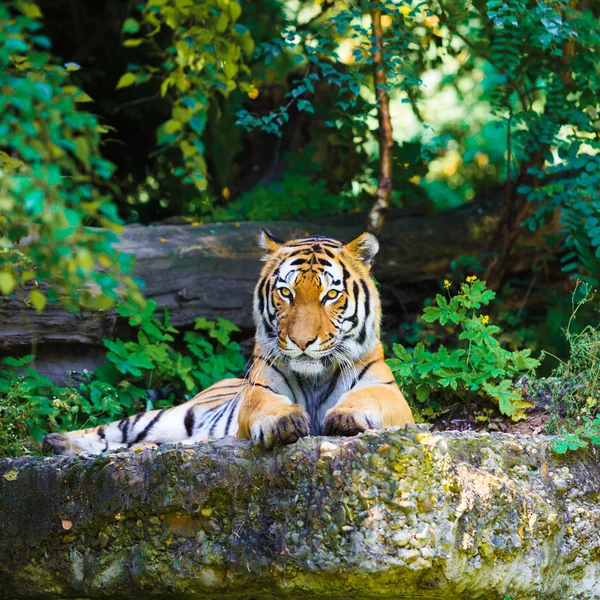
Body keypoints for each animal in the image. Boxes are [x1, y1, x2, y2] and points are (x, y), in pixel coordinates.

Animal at [43, 230, 412, 454]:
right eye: (286, 293)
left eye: (331, 295)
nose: (302, 341)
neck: (315, 377)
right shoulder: (258, 393)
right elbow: (269, 406)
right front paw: (283, 421)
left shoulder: (390, 394)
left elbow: (367, 397)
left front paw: (348, 416)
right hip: (170, 417)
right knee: (110, 430)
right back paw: (58, 441)